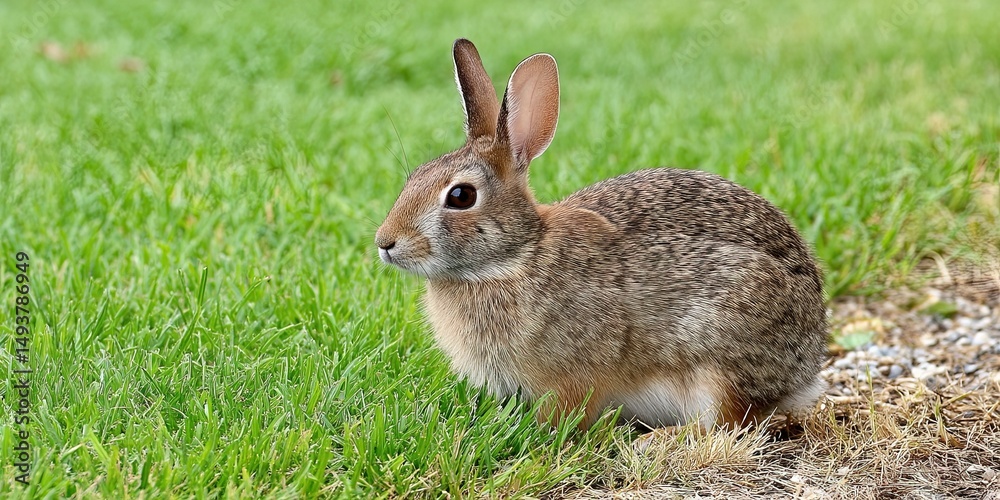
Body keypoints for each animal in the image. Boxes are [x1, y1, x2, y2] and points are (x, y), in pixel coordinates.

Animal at [375, 38, 828, 429]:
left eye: (461, 196)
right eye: (415, 176)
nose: (385, 243)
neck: (513, 258)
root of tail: (803, 369)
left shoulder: (572, 375)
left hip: (718, 357)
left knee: (730, 420)